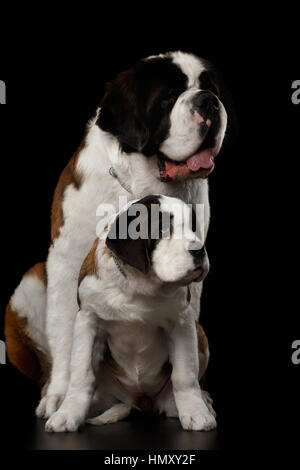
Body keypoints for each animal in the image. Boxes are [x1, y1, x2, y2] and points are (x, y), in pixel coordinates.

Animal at [4, 50, 227, 430]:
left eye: (208, 88)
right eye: (169, 97)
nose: (209, 102)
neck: (141, 182)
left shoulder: (188, 288)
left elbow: (183, 346)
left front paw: (189, 400)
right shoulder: (69, 263)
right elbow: (69, 334)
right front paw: (62, 398)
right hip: (30, 282)